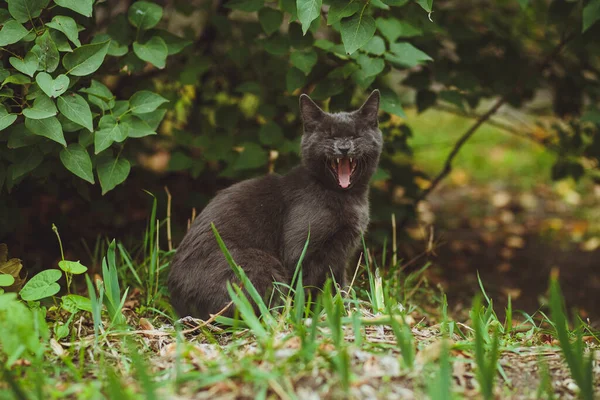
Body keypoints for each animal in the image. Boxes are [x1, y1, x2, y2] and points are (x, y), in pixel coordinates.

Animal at [168, 90, 384, 318]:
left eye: (356, 135)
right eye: (329, 136)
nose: (344, 147)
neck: (344, 197)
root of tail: (178, 304)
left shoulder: (340, 257)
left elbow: (338, 286)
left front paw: (342, 311)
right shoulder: (301, 251)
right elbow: (306, 287)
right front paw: (309, 316)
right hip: (259, 263)